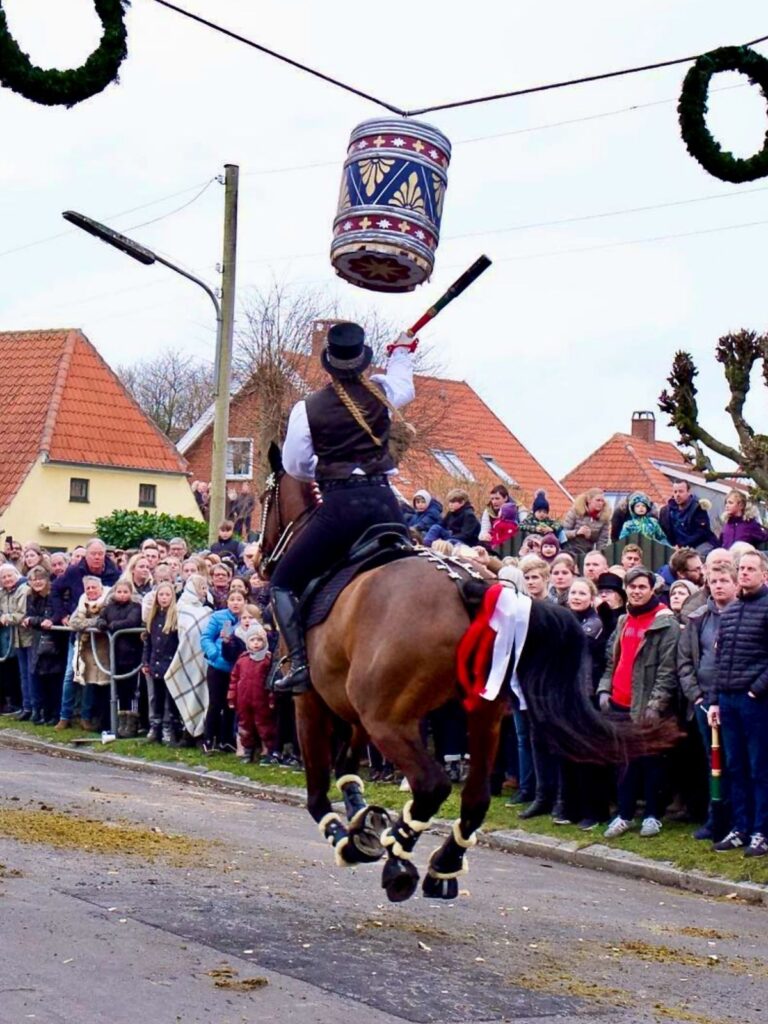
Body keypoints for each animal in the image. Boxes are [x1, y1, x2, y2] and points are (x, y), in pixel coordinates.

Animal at [259, 448, 667, 905]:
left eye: (264, 499)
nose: (260, 560)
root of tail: (469, 586)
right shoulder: (356, 709)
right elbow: (349, 770)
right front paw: (364, 822)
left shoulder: (311, 703)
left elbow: (317, 795)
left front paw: (351, 838)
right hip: (479, 717)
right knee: (474, 798)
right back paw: (441, 864)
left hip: (391, 721)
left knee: (433, 784)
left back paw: (401, 862)